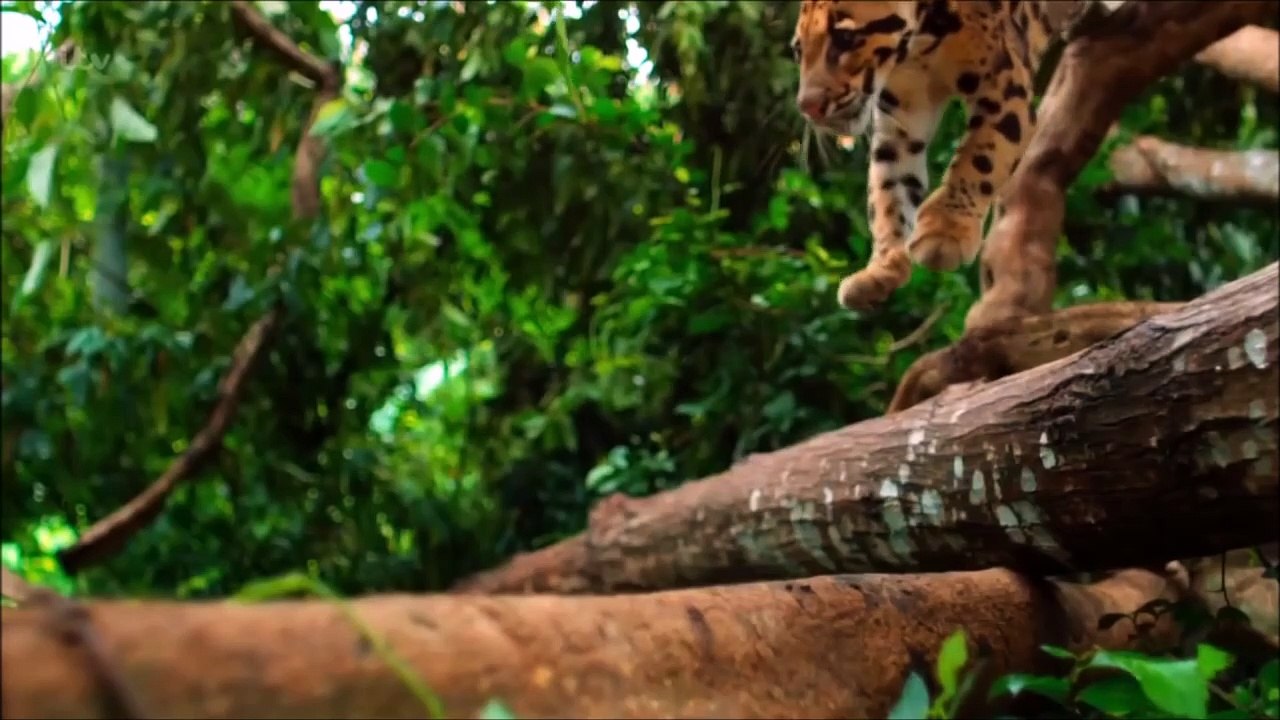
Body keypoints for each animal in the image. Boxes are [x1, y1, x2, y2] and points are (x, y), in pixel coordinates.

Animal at [791, 0, 1115, 312]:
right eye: (798, 51)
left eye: (845, 38)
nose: (808, 107)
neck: (920, 45)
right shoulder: (901, 118)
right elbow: (888, 189)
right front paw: (884, 266)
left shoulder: (1003, 87)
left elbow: (979, 159)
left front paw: (946, 230)